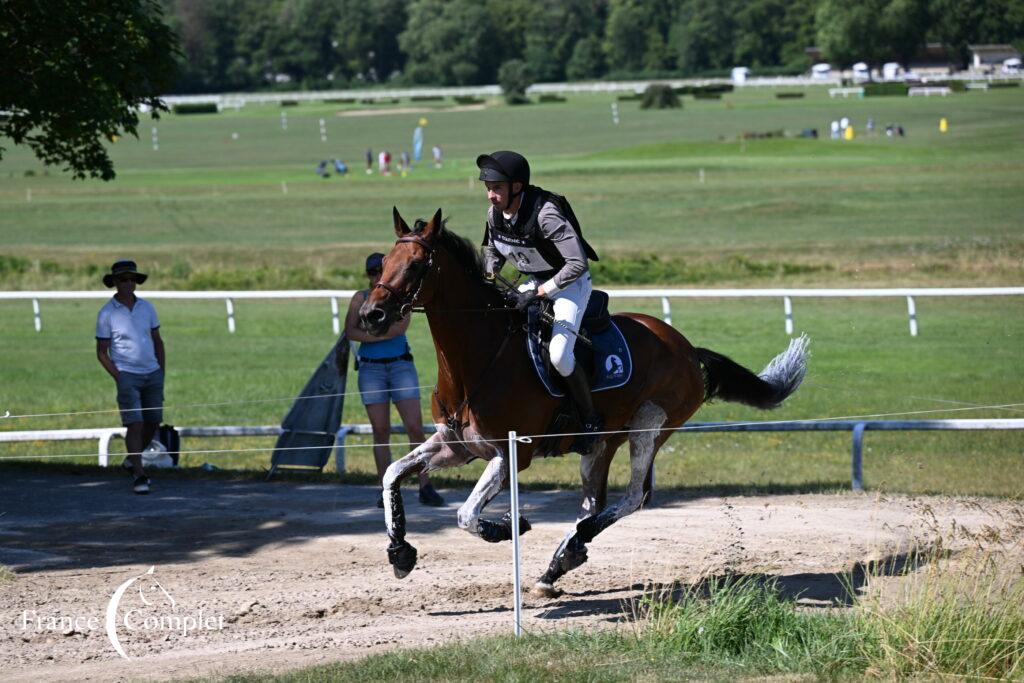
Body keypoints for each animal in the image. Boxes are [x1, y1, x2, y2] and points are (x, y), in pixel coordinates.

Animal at [360, 208, 806, 598]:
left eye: (416, 265)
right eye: (382, 264)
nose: (371, 315)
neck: (479, 358)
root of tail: (687, 348)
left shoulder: (512, 453)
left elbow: (466, 515)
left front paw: (509, 527)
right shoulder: (455, 447)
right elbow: (392, 475)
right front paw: (400, 552)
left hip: (650, 425)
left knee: (634, 497)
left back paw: (577, 542)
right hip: (602, 441)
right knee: (595, 500)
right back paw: (559, 561)